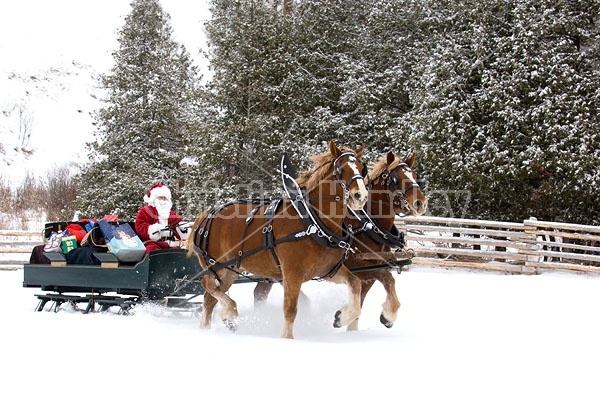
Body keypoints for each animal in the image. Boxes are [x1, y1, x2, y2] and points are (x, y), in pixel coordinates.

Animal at [188, 141, 368, 338]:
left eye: (362, 168)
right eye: (341, 170)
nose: (361, 196)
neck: (312, 220)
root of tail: (206, 215)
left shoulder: (328, 270)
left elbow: (356, 284)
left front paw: (342, 317)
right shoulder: (292, 273)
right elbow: (290, 309)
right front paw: (286, 338)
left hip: (230, 269)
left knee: (209, 299)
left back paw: (208, 327)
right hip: (217, 266)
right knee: (207, 285)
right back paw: (230, 312)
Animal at [253, 151, 426, 332]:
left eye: (415, 176)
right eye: (396, 179)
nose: (420, 203)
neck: (365, 225)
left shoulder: (367, 273)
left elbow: (365, 298)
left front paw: (353, 325)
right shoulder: (361, 267)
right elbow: (388, 278)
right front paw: (386, 315)